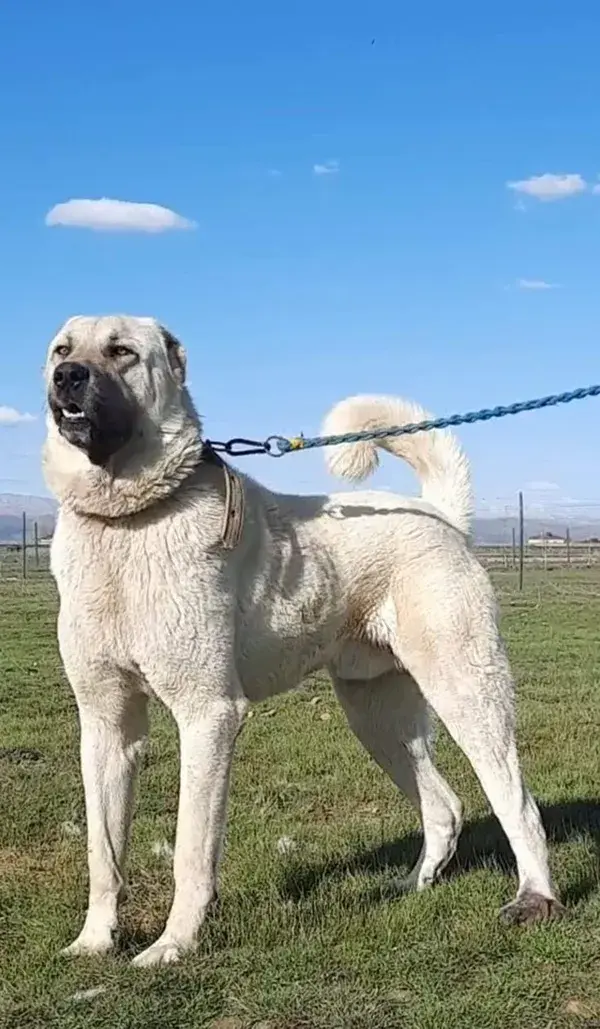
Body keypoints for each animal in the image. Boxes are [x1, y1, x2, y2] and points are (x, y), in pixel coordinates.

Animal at [44, 312, 563, 963]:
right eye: (61, 350)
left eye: (122, 353)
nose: (67, 376)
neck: (125, 522)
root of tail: (440, 516)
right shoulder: (105, 725)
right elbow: (104, 852)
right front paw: (93, 942)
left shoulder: (208, 715)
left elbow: (191, 849)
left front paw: (174, 945)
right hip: (376, 716)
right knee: (443, 806)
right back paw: (412, 887)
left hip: (467, 693)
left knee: (517, 803)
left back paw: (536, 899)